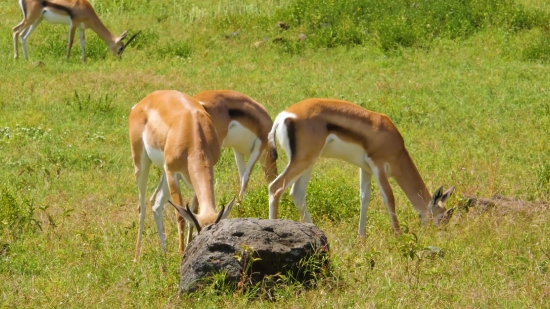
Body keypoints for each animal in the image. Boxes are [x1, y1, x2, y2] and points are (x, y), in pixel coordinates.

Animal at [12, 0, 140, 61]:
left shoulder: (81, 28)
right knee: (15, 30)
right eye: (121, 48)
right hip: (31, 18)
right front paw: (67, 59)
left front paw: (84, 60)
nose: (119, 59)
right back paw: (16, 57)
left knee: (23, 36)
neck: (85, 8)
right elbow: (71, 42)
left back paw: (26, 59)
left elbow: (83, 44)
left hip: (37, 20)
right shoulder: (73, 24)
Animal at [130, 89, 236, 260]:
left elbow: (193, 210)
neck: (193, 130)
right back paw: (136, 257)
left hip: (164, 174)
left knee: (156, 201)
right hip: (142, 163)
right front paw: (181, 254)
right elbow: (180, 216)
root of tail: (145, 100)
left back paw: (164, 256)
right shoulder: (173, 173)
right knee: (142, 206)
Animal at [270, 98, 458, 236]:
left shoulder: (366, 169)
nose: (440, 235)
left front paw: (361, 237)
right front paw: (398, 236)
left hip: (308, 161)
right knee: (275, 187)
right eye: (442, 217)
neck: (395, 145)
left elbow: (365, 198)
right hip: (303, 161)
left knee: (297, 193)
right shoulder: (379, 166)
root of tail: (282, 116)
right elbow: (389, 198)